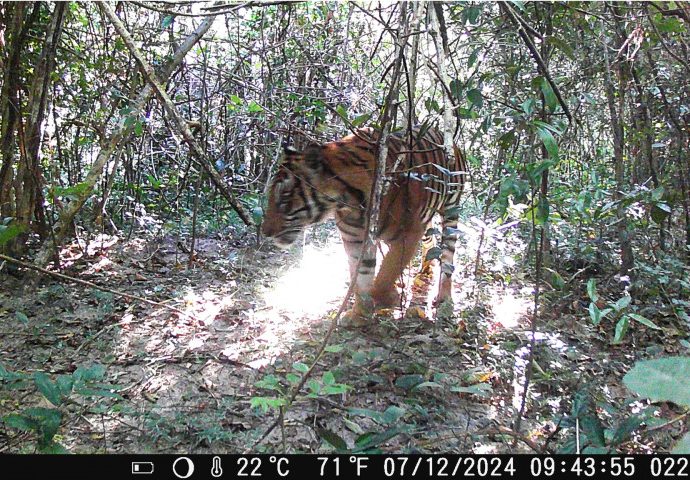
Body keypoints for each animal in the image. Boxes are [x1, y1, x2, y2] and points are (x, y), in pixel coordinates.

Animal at [260, 125, 464, 324]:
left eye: (285, 199)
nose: (265, 232)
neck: (345, 202)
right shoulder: (355, 239)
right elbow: (362, 274)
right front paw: (360, 313)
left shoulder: (408, 234)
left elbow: (386, 273)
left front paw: (384, 299)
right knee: (429, 242)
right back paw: (425, 271)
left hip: (451, 209)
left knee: (447, 257)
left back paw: (445, 299)